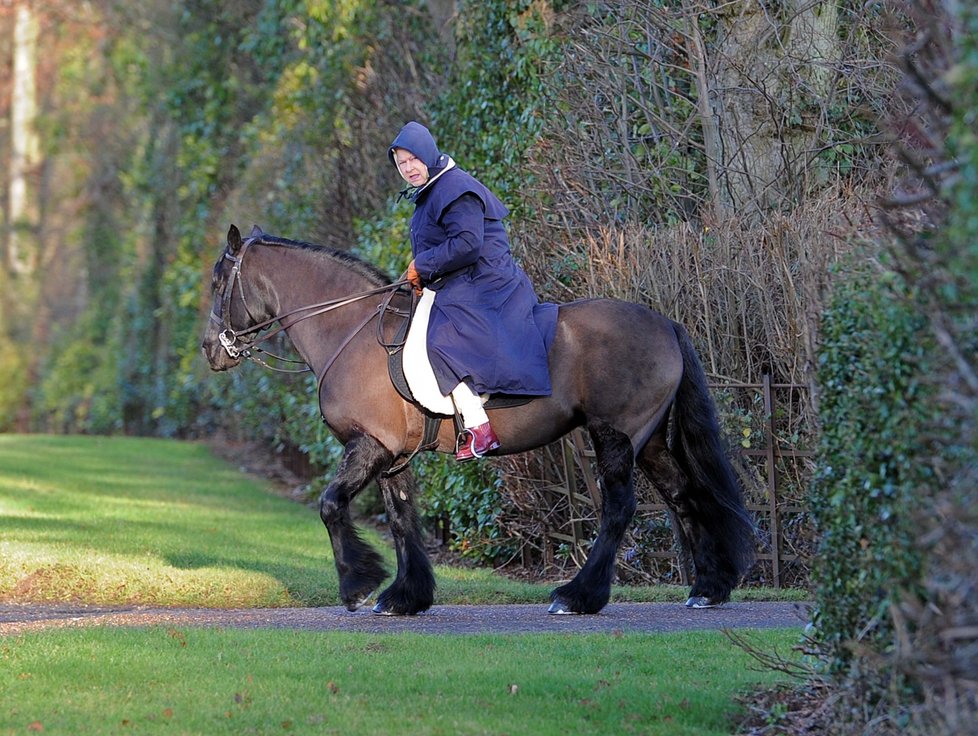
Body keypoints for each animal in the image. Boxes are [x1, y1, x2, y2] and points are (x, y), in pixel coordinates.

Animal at [200, 224, 756, 616]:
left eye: (218, 282)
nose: (210, 350)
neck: (348, 327)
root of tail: (665, 323)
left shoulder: (369, 446)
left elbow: (331, 505)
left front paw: (357, 585)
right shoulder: (393, 456)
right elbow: (402, 519)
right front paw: (406, 596)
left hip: (614, 436)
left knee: (619, 510)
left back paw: (578, 596)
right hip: (651, 440)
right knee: (684, 495)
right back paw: (708, 587)